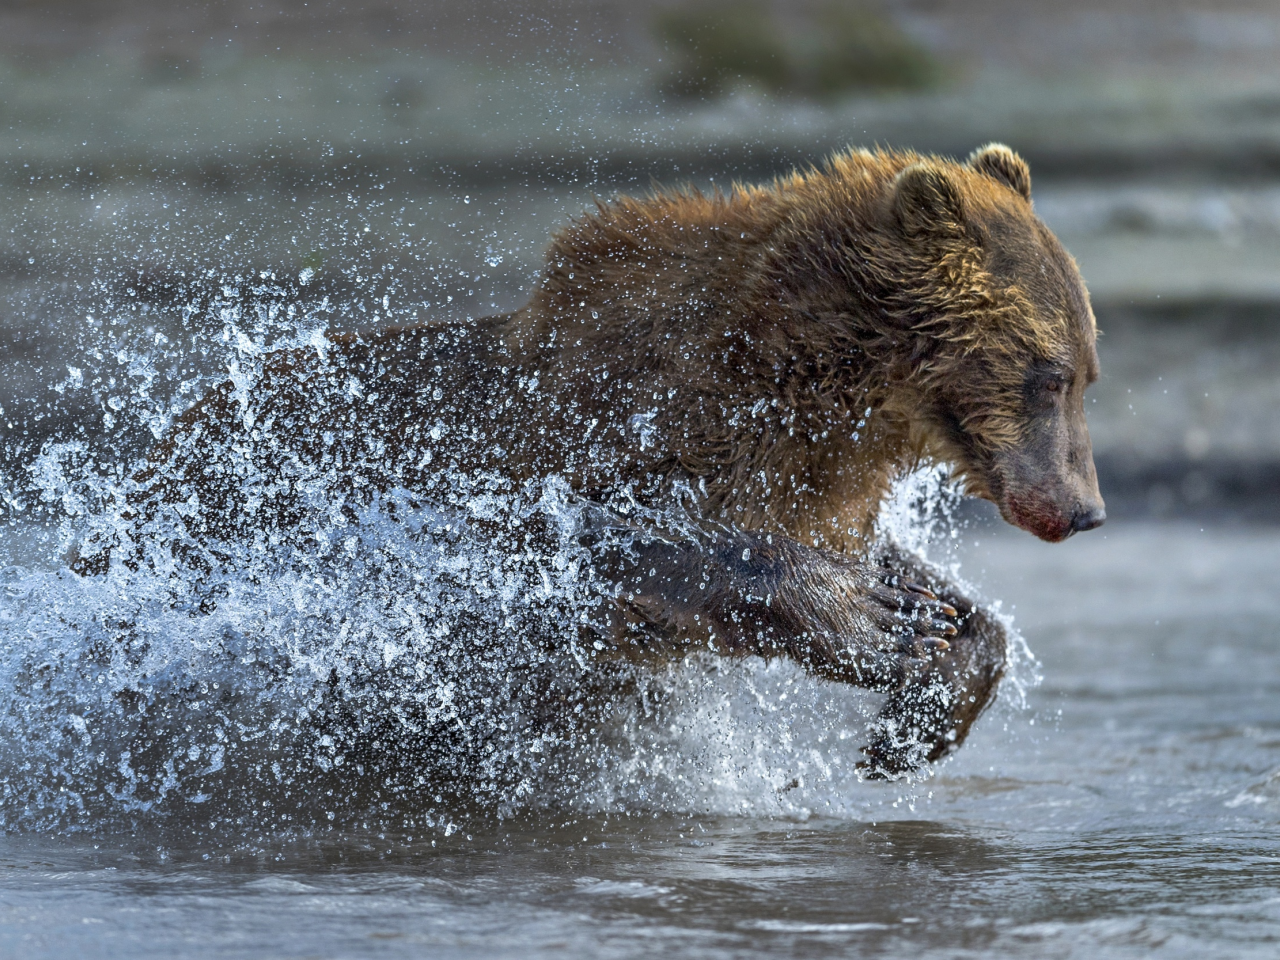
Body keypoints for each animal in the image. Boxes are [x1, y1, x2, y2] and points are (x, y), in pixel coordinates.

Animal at [74, 146, 1105, 783]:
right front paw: (875, 624)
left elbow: (915, 582)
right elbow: (579, 544)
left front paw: (921, 689)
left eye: (1089, 371)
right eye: (1048, 373)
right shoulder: (592, 432)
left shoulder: (813, 482)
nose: (1086, 508)